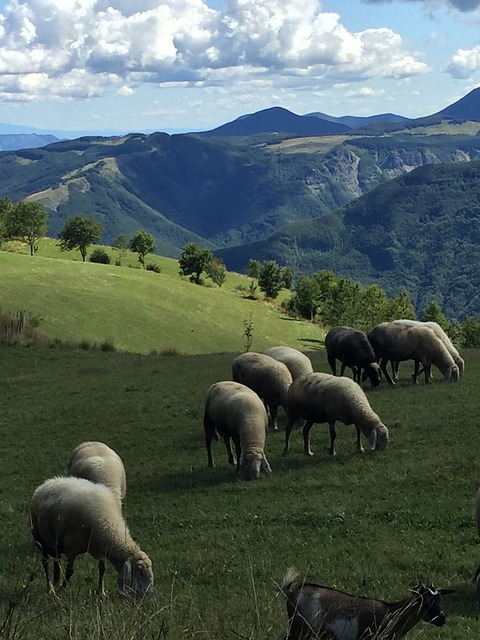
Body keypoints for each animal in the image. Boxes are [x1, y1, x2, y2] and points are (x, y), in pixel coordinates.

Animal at [280, 568, 452, 640]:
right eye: (425, 601)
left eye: (440, 600)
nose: (442, 619)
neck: (392, 613)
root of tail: (291, 592)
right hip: (298, 628)